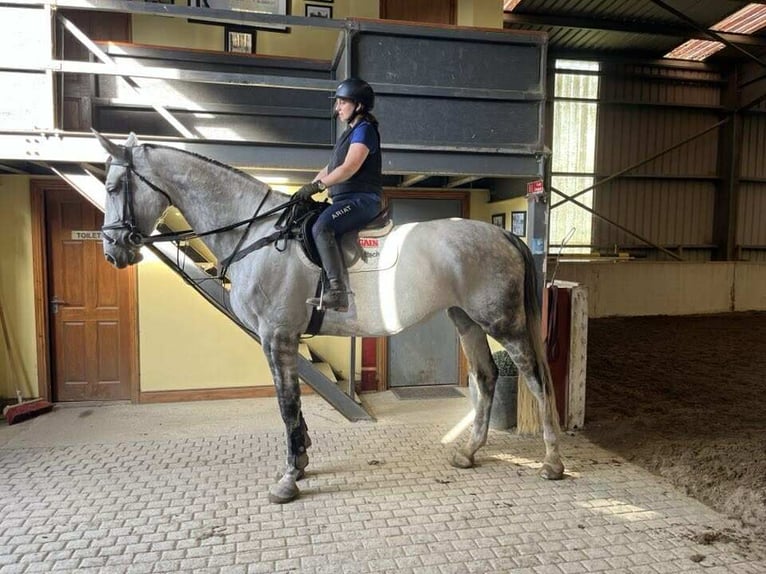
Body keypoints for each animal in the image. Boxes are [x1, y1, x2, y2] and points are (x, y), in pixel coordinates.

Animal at [94, 131, 564, 504]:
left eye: (115, 186)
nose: (113, 252)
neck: (256, 233)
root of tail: (501, 233)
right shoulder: (278, 338)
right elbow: (291, 403)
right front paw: (300, 461)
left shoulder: (277, 335)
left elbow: (287, 404)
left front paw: (289, 478)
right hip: (465, 319)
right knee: (486, 376)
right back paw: (468, 453)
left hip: (502, 322)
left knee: (535, 379)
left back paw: (552, 461)